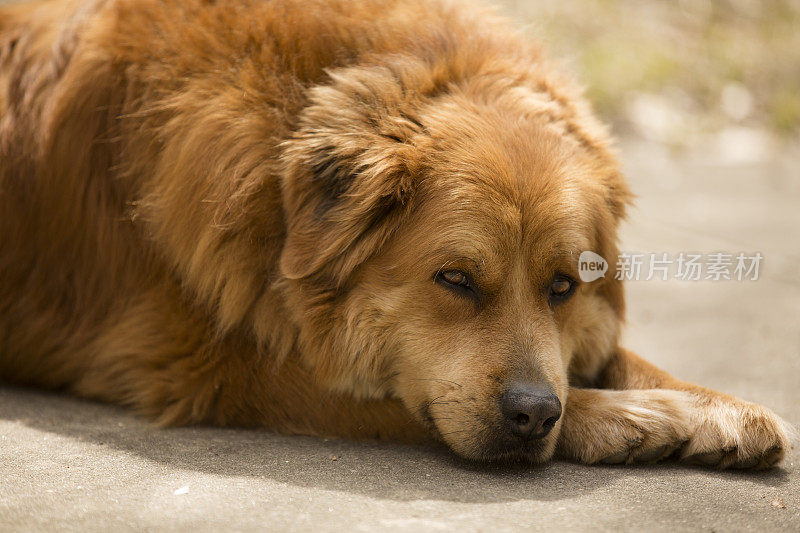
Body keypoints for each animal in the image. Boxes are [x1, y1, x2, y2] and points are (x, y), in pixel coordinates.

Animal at [0, 0, 788, 466]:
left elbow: (620, 353)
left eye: (564, 287)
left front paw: (713, 404)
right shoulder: (205, 366)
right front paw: (624, 417)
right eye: (456, 280)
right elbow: (393, 399)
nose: (536, 414)